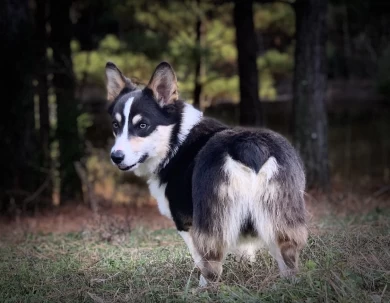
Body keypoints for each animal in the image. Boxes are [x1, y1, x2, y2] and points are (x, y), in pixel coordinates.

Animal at [103, 61, 308, 288]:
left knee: (211, 263)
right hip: (281, 218)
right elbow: (245, 251)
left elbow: (199, 258)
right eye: (115, 125)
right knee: (288, 256)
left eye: (142, 125)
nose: (116, 157)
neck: (176, 140)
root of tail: (249, 145)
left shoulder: (186, 223)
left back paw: (202, 288)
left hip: (212, 222)